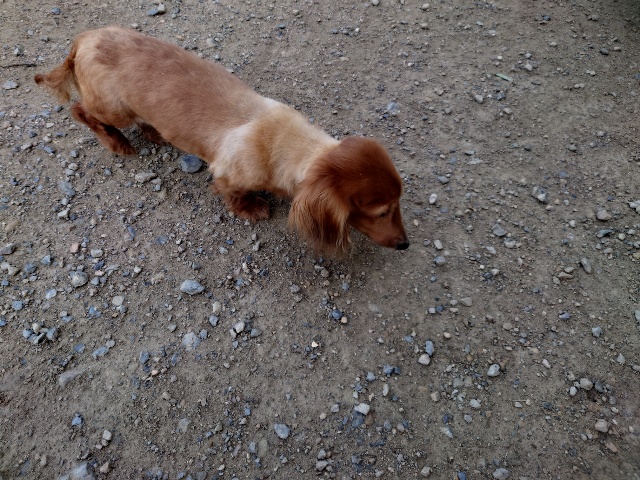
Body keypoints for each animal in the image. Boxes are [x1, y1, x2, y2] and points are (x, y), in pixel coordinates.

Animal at [35, 26, 409, 255]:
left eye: (398, 203)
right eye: (381, 212)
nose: (405, 244)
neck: (282, 139)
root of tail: (84, 38)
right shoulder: (229, 174)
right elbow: (233, 194)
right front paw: (251, 208)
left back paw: (153, 130)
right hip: (113, 108)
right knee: (81, 110)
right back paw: (116, 142)